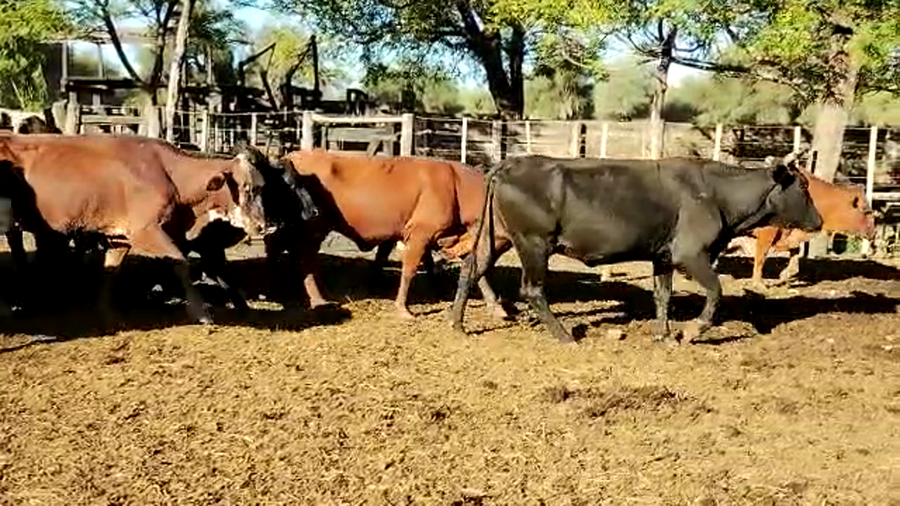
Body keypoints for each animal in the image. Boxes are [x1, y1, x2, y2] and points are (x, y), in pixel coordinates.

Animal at [0, 134, 267, 324]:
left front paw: (107, 312)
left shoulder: (119, 237)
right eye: (247, 188)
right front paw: (201, 313)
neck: (167, 173)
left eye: (261, 187)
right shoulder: (146, 230)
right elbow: (181, 264)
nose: (263, 226)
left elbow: (111, 269)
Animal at [268, 149, 505, 320]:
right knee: (303, 259)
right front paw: (403, 309)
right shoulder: (420, 234)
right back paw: (317, 299)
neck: (456, 186)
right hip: (310, 229)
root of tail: (291, 156)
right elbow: (409, 271)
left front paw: (496, 307)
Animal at [450, 155, 824, 344]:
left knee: (471, 267)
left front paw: (665, 334)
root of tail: (507, 164)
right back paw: (565, 336)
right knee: (532, 289)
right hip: (534, 242)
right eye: (804, 187)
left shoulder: (663, 256)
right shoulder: (691, 254)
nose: (819, 220)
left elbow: (663, 295)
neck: (717, 193)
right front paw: (692, 331)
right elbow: (716, 292)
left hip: (497, 236)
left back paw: (456, 323)